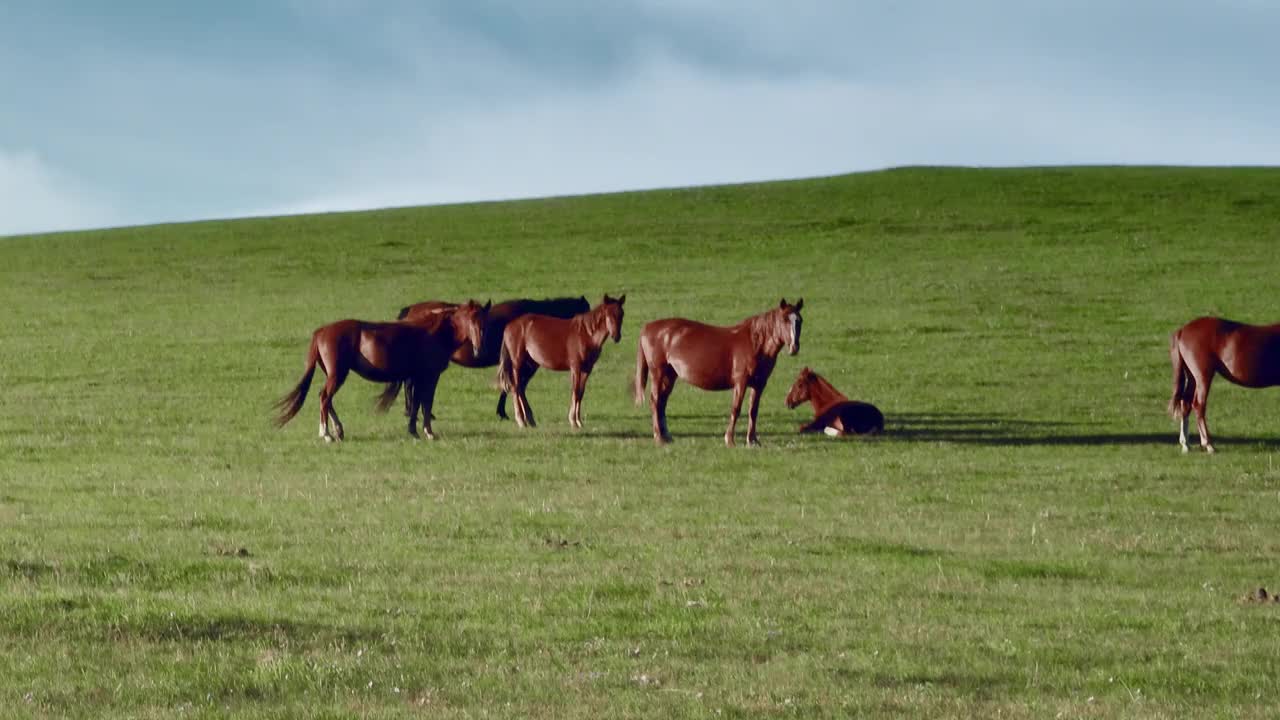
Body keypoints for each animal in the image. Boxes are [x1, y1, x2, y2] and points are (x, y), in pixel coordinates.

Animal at [277, 299, 491, 440]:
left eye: (484, 322)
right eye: (470, 320)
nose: (479, 349)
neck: (434, 332)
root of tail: (322, 331)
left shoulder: (417, 376)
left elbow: (416, 403)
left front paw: (414, 430)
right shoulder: (429, 375)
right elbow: (425, 402)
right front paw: (428, 431)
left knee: (326, 398)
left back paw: (338, 430)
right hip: (337, 375)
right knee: (324, 398)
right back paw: (327, 433)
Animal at [494, 292, 624, 425]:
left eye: (621, 314)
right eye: (608, 314)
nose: (616, 337)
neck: (586, 335)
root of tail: (509, 326)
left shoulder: (587, 369)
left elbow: (580, 393)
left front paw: (579, 422)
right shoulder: (575, 367)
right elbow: (575, 391)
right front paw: (573, 421)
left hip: (530, 363)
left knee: (520, 387)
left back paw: (530, 420)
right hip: (518, 362)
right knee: (515, 386)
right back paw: (521, 420)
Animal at [634, 295, 803, 443]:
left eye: (800, 321)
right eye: (784, 319)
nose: (794, 347)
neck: (755, 343)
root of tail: (647, 327)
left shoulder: (759, 385)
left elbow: (753, 411)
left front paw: (752, 440)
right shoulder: (741, 382)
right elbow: (736, 408)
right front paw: (730, 439)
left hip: (670, 375)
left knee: (662, 403)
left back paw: (667, 436)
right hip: (658, 373)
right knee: (655, 401)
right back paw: (659, 437)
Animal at [1172, 312, 1280, 448]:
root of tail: (1183, 330)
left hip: (1192, 377)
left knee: (1185, 403)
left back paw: (1186, 444)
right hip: (1203, 376)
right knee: (1198, 405)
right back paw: (1208, 444)